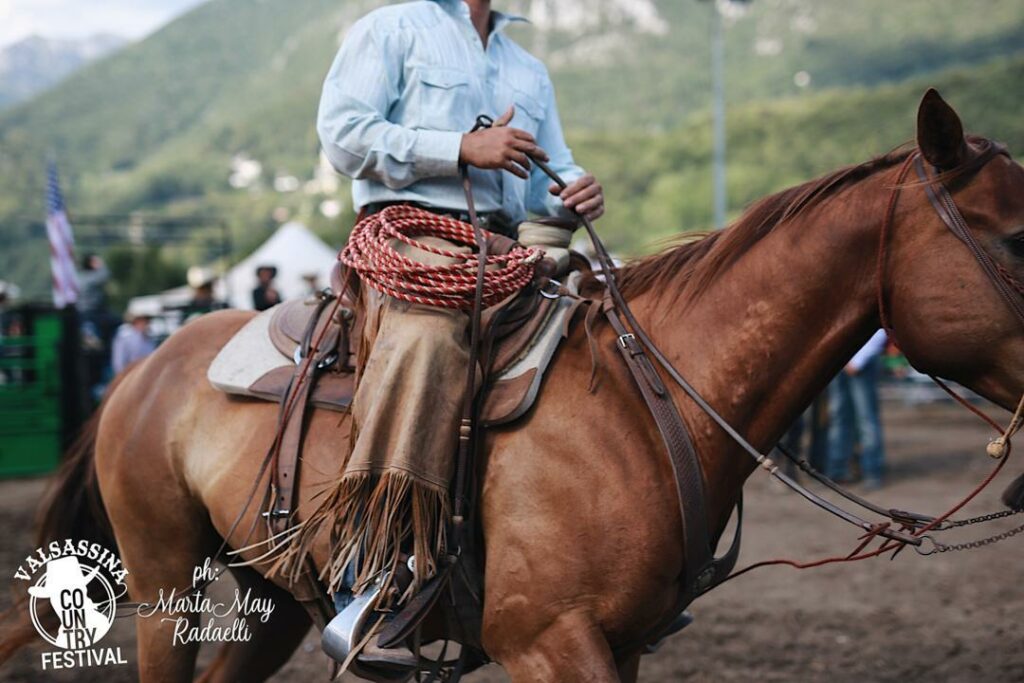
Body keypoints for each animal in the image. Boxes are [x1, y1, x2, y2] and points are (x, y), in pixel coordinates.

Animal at [2, 90, 1024, 683]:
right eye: (1015, 236)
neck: (644, 403)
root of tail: (140, 372)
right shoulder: (550, 640)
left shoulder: (622, 644)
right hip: (164, 584)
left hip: (274, 595)